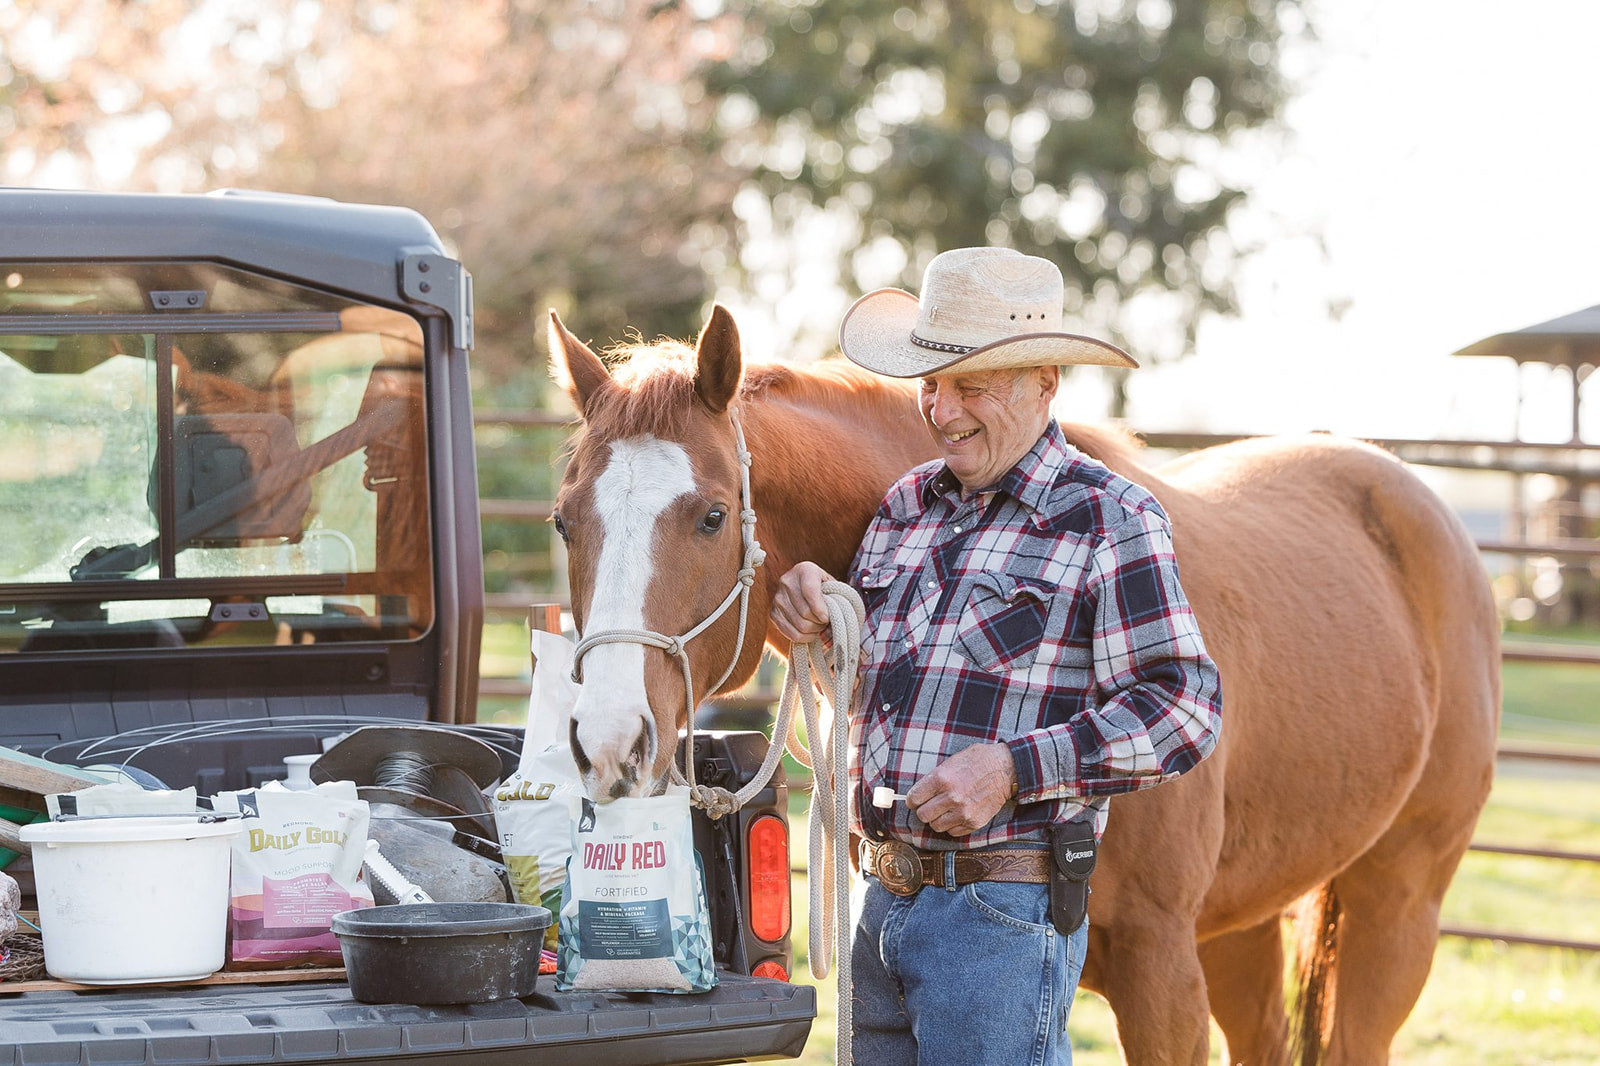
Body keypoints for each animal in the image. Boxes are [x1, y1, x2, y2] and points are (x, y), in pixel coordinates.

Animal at [547, 304, 1500, 1066]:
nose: (609, 741)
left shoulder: (1162, 976)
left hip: (1397, 909)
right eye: (564, 521)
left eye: (711, 515)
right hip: (1248, 926)